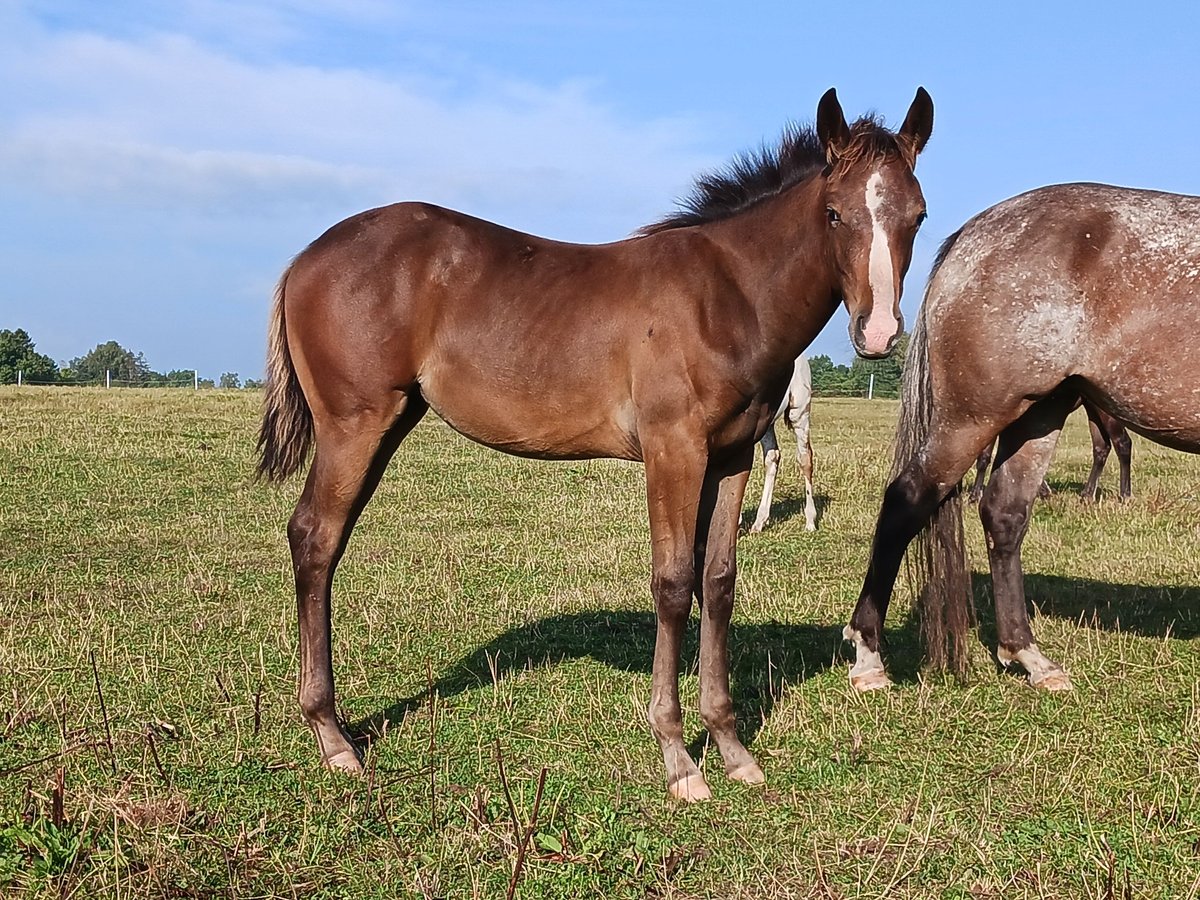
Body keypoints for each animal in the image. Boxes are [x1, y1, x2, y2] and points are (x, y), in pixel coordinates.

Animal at [744, 355, 820, 535]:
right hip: (766, 423)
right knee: (772, 457)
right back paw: (759, 522)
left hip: (799, 412)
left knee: (805, 458)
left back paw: (810, 522)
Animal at [844, 181, 1200, 691]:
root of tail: (970, 235)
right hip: (973, 417)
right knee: (905, 501)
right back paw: (869, 656)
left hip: (1040, 415)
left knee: (1004, 514)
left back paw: (1029, 655)